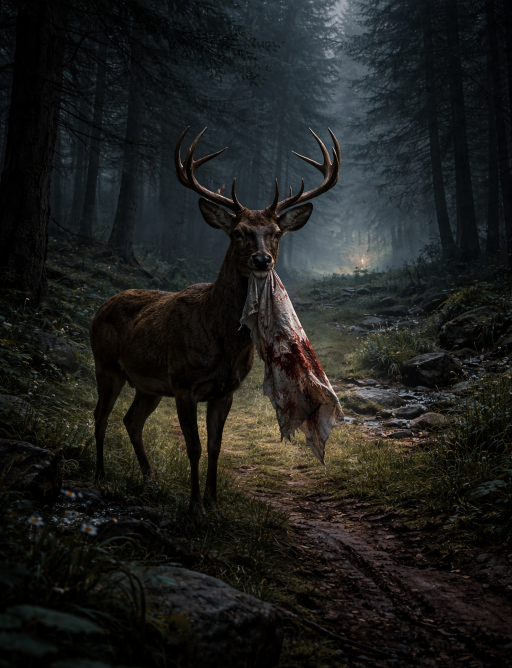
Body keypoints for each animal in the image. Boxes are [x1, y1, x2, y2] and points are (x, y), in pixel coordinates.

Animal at [90, 127, 341, 513]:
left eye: (276, 233)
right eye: (238, 232)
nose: (261, 259)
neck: (219, 337)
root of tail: (101, 306)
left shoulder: (226, 390)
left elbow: (214, 447)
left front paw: (215, 502)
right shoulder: (183, 384)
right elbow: (193, 447)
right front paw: (195, 505)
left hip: (148, 385)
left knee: (131, 421)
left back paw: (151, 479)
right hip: (107, 365)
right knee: (100, 416)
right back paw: (101, 474)